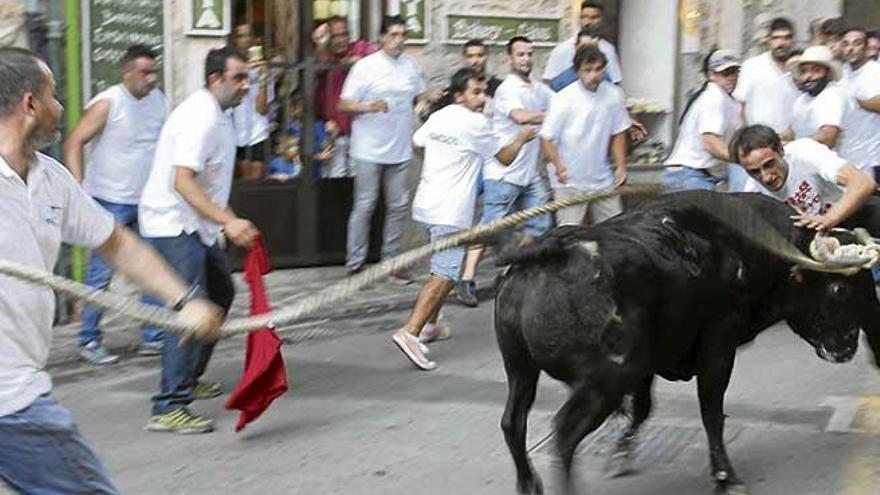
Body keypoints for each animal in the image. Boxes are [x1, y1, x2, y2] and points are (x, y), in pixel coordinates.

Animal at [492, 191, 880, 495]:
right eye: (839, 288)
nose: (849, 345)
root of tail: (553, 252)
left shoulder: (649, 365)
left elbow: (644, 409)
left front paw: (621, 455)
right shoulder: (718, 348)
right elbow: (711, 412)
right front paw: (725, 477)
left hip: (521, 369)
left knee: (513, 422)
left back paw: (528, 484)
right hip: (606, 382)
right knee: (563, 436)